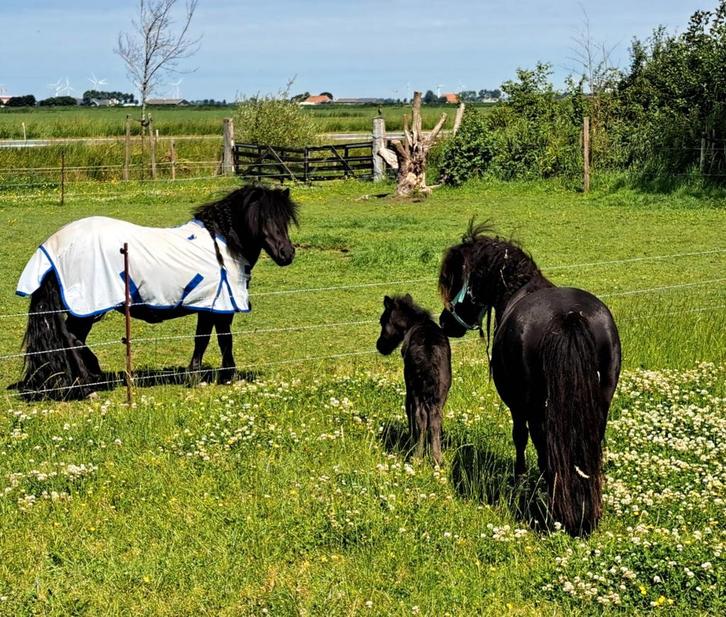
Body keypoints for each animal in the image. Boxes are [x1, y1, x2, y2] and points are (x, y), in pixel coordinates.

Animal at [16, 185, 299, 400]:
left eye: (285, 220)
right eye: (261, 219)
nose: (286, 254)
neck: (223, 244)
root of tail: (55, 245)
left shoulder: (214, 305)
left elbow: (217, 338)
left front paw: (218, 374)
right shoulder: (215, 305)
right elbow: (211, 339)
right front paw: (209, 376)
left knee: (73, 338)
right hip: (86, 306)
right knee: (73, 338)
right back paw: (88, 385)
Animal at [376, 294, 452, 465]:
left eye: (382, 321)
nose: (380, 346)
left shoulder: (408, 386)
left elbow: (408, 410)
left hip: (415, 386)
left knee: (420, 416)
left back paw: (417, 456)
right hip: (442, 389)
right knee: (435, 418)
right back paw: (437, 458)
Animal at [438, 223, 621, 536]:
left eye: (457, 279)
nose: (444, 322)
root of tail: (568, 317)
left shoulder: (516, 405)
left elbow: (519, 438)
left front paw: (520, 477)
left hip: (536, 410)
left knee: (546, 452)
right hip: (600, 405)